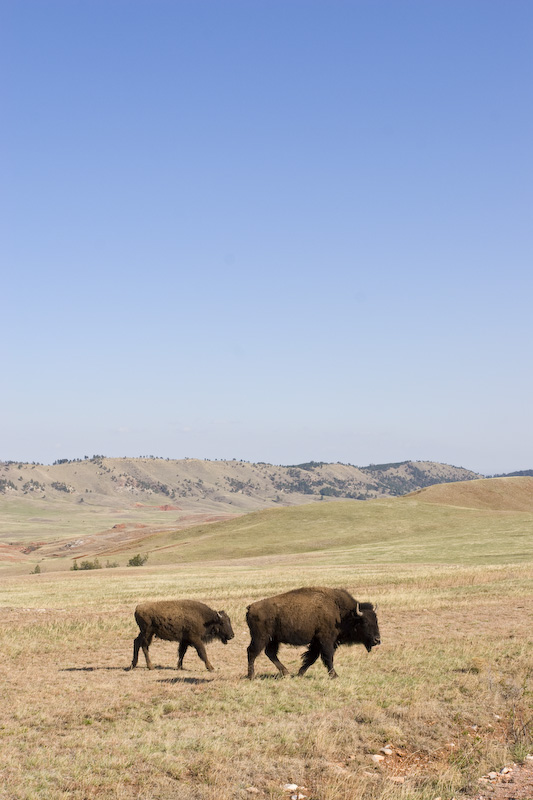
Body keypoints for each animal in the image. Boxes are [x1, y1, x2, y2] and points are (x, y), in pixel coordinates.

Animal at [245, 584, 378, 680]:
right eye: (364, 622)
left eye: (376, 620)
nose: (377, 640)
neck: (341, 612)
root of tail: (251, 607)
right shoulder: (326, 640)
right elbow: (328, 656)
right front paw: (334, 675)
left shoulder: (317, 642)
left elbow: (311, 658)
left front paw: (300, 674)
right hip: (260, 638)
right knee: (252, 652)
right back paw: (251, 676)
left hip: (273, 640)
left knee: (270, 653)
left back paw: (286, 673)